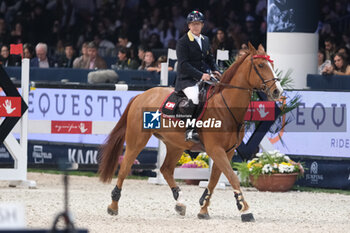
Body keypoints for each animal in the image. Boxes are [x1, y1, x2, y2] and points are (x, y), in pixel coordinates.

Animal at [97, 42, 284, 221]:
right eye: (260, 65)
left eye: (272, 64)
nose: (278, 91)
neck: (225, 106)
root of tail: (141, 96)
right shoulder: (216, 149)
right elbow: (232, 177)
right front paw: (245, 210)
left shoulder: (228, 151)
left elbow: (214, 180)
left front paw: (203, 209)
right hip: (137, 140)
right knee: (125, 168)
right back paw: (113, 206)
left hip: (175, 145)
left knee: (166, 169)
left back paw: (180, 203)